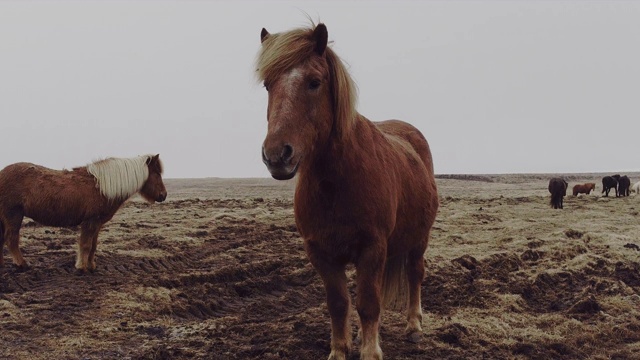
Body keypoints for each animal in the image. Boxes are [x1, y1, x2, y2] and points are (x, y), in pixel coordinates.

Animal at [0, 154, 168, 270]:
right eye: (157, 173)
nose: (163, 195)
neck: (102, 187)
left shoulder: (98, 223)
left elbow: (93, 245)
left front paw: (91, 265)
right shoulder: (90, 221)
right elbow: (86, 245)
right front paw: (82, 267)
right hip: (13, 215)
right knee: (11, 239)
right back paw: (22, 264)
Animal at [256, 23, 440, 358]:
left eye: (314, 82)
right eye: (267, 84)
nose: (276, 155)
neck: (336, 184)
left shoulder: (372, 249)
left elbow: (368, 303)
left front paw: (370, 351)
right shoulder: (320, 252)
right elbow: (339, 303)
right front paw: (340, 349)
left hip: (419, 239)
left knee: (414, 273)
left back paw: (414, 326)